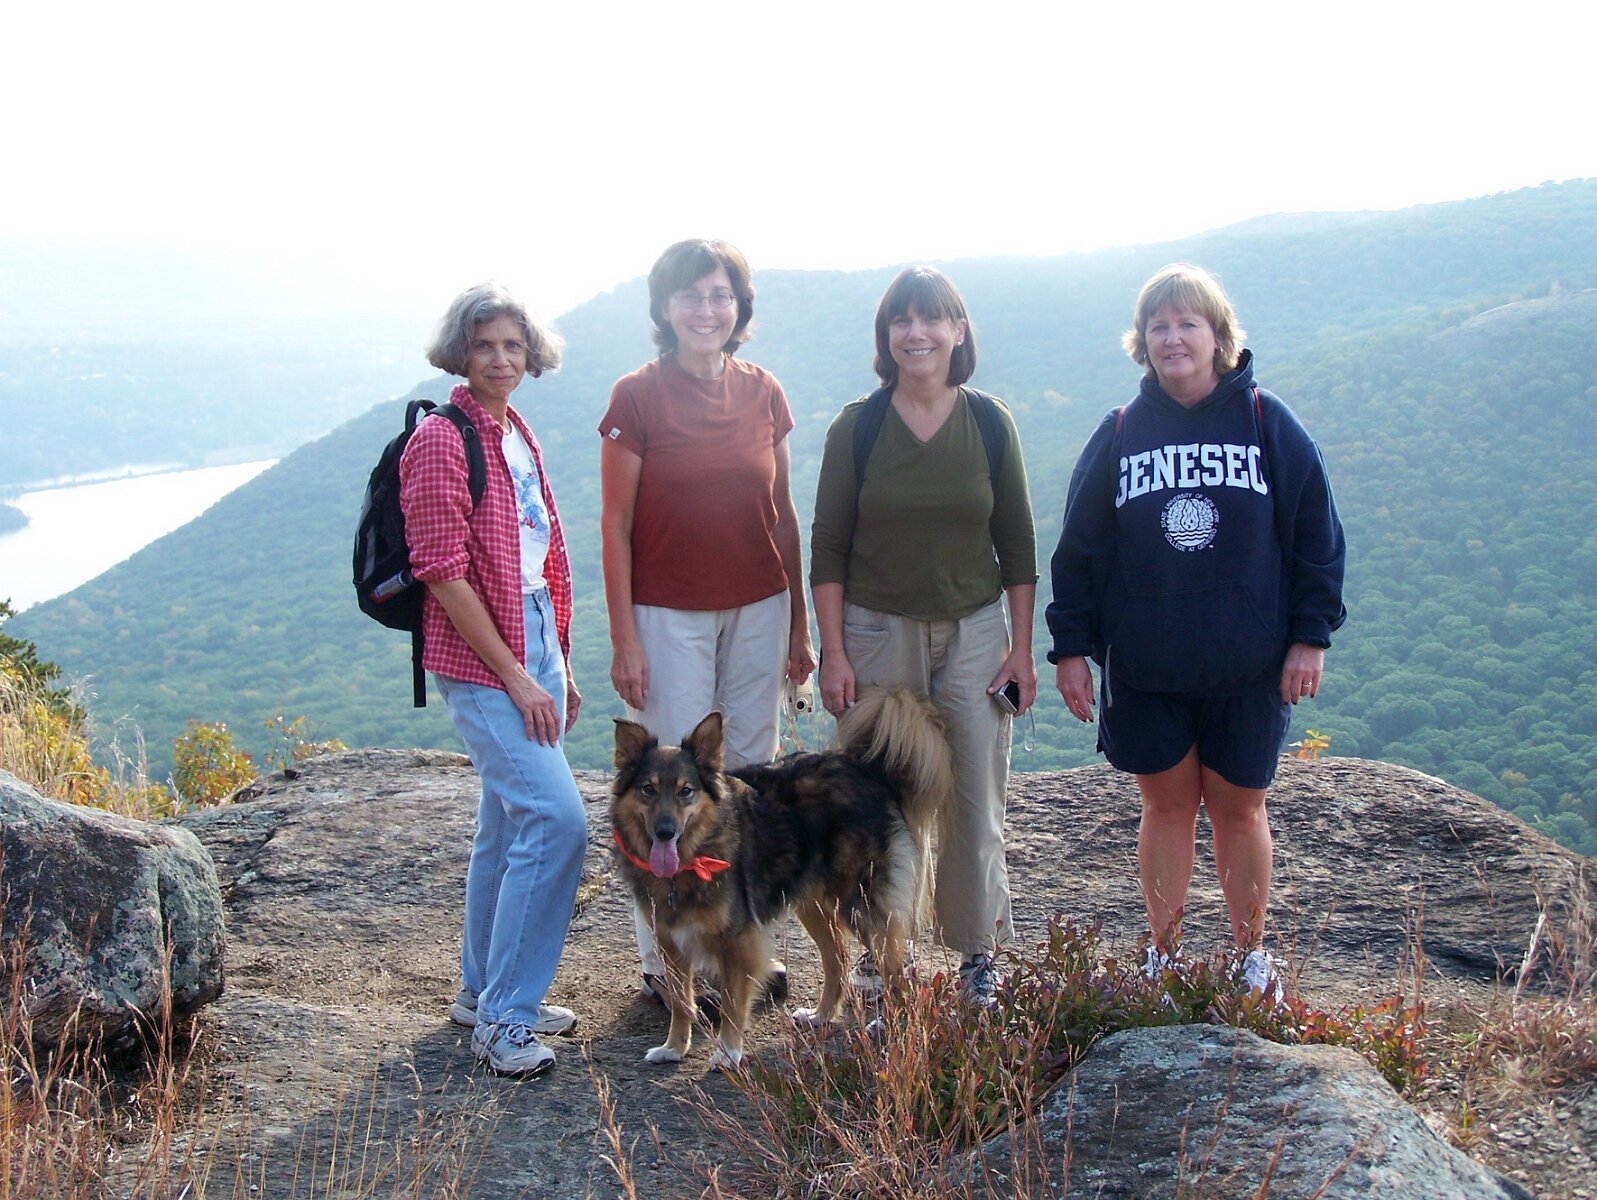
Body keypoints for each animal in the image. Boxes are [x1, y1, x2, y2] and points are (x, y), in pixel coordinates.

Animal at [610, 686, 953, 1070]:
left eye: (686, 790)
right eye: (648, 789)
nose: (665, 832)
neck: (693, 856)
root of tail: (868, 769)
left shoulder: (737, 941)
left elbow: (731, 1004)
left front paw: (727, 1052)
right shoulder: (670, 942)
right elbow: (682, 1002)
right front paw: (673, 1047)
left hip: (862, 906)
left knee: (894, 975)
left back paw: (895, 1029)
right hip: (813, 905)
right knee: (838, 960)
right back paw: (821, 1016)